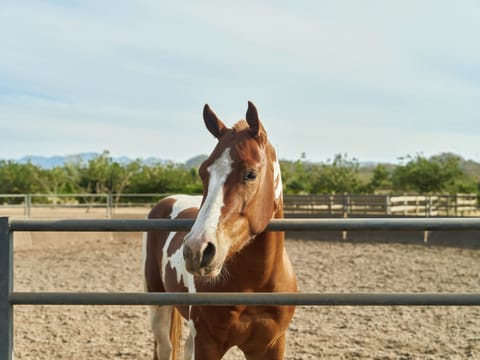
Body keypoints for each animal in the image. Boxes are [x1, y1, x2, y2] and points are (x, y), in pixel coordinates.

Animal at [143, 101, 296, 360]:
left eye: (251, 174)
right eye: (203, 172)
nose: (196, 251)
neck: (253, 286)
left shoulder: (272, 345)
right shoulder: (208, 343)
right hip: (159, 308)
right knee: (165, 348)